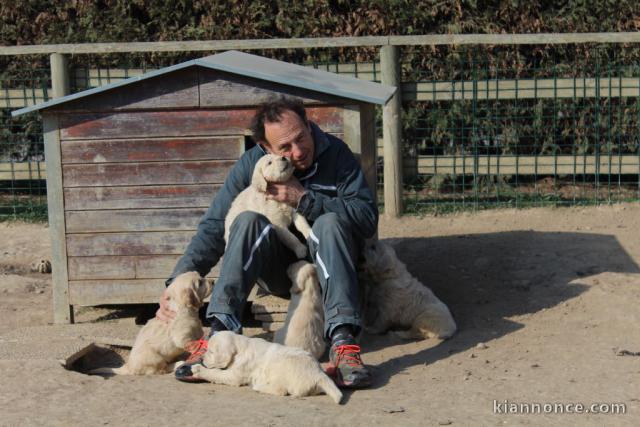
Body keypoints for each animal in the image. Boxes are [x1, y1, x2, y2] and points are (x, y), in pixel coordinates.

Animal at [190, 332, 342, 404]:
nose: (201, 359)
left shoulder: (235, 375)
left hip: (281, 366)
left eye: (210, 351)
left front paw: (198, 369)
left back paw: (259, 386)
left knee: (281, 390)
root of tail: (318, 373)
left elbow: (216, 373)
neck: (240, 349)